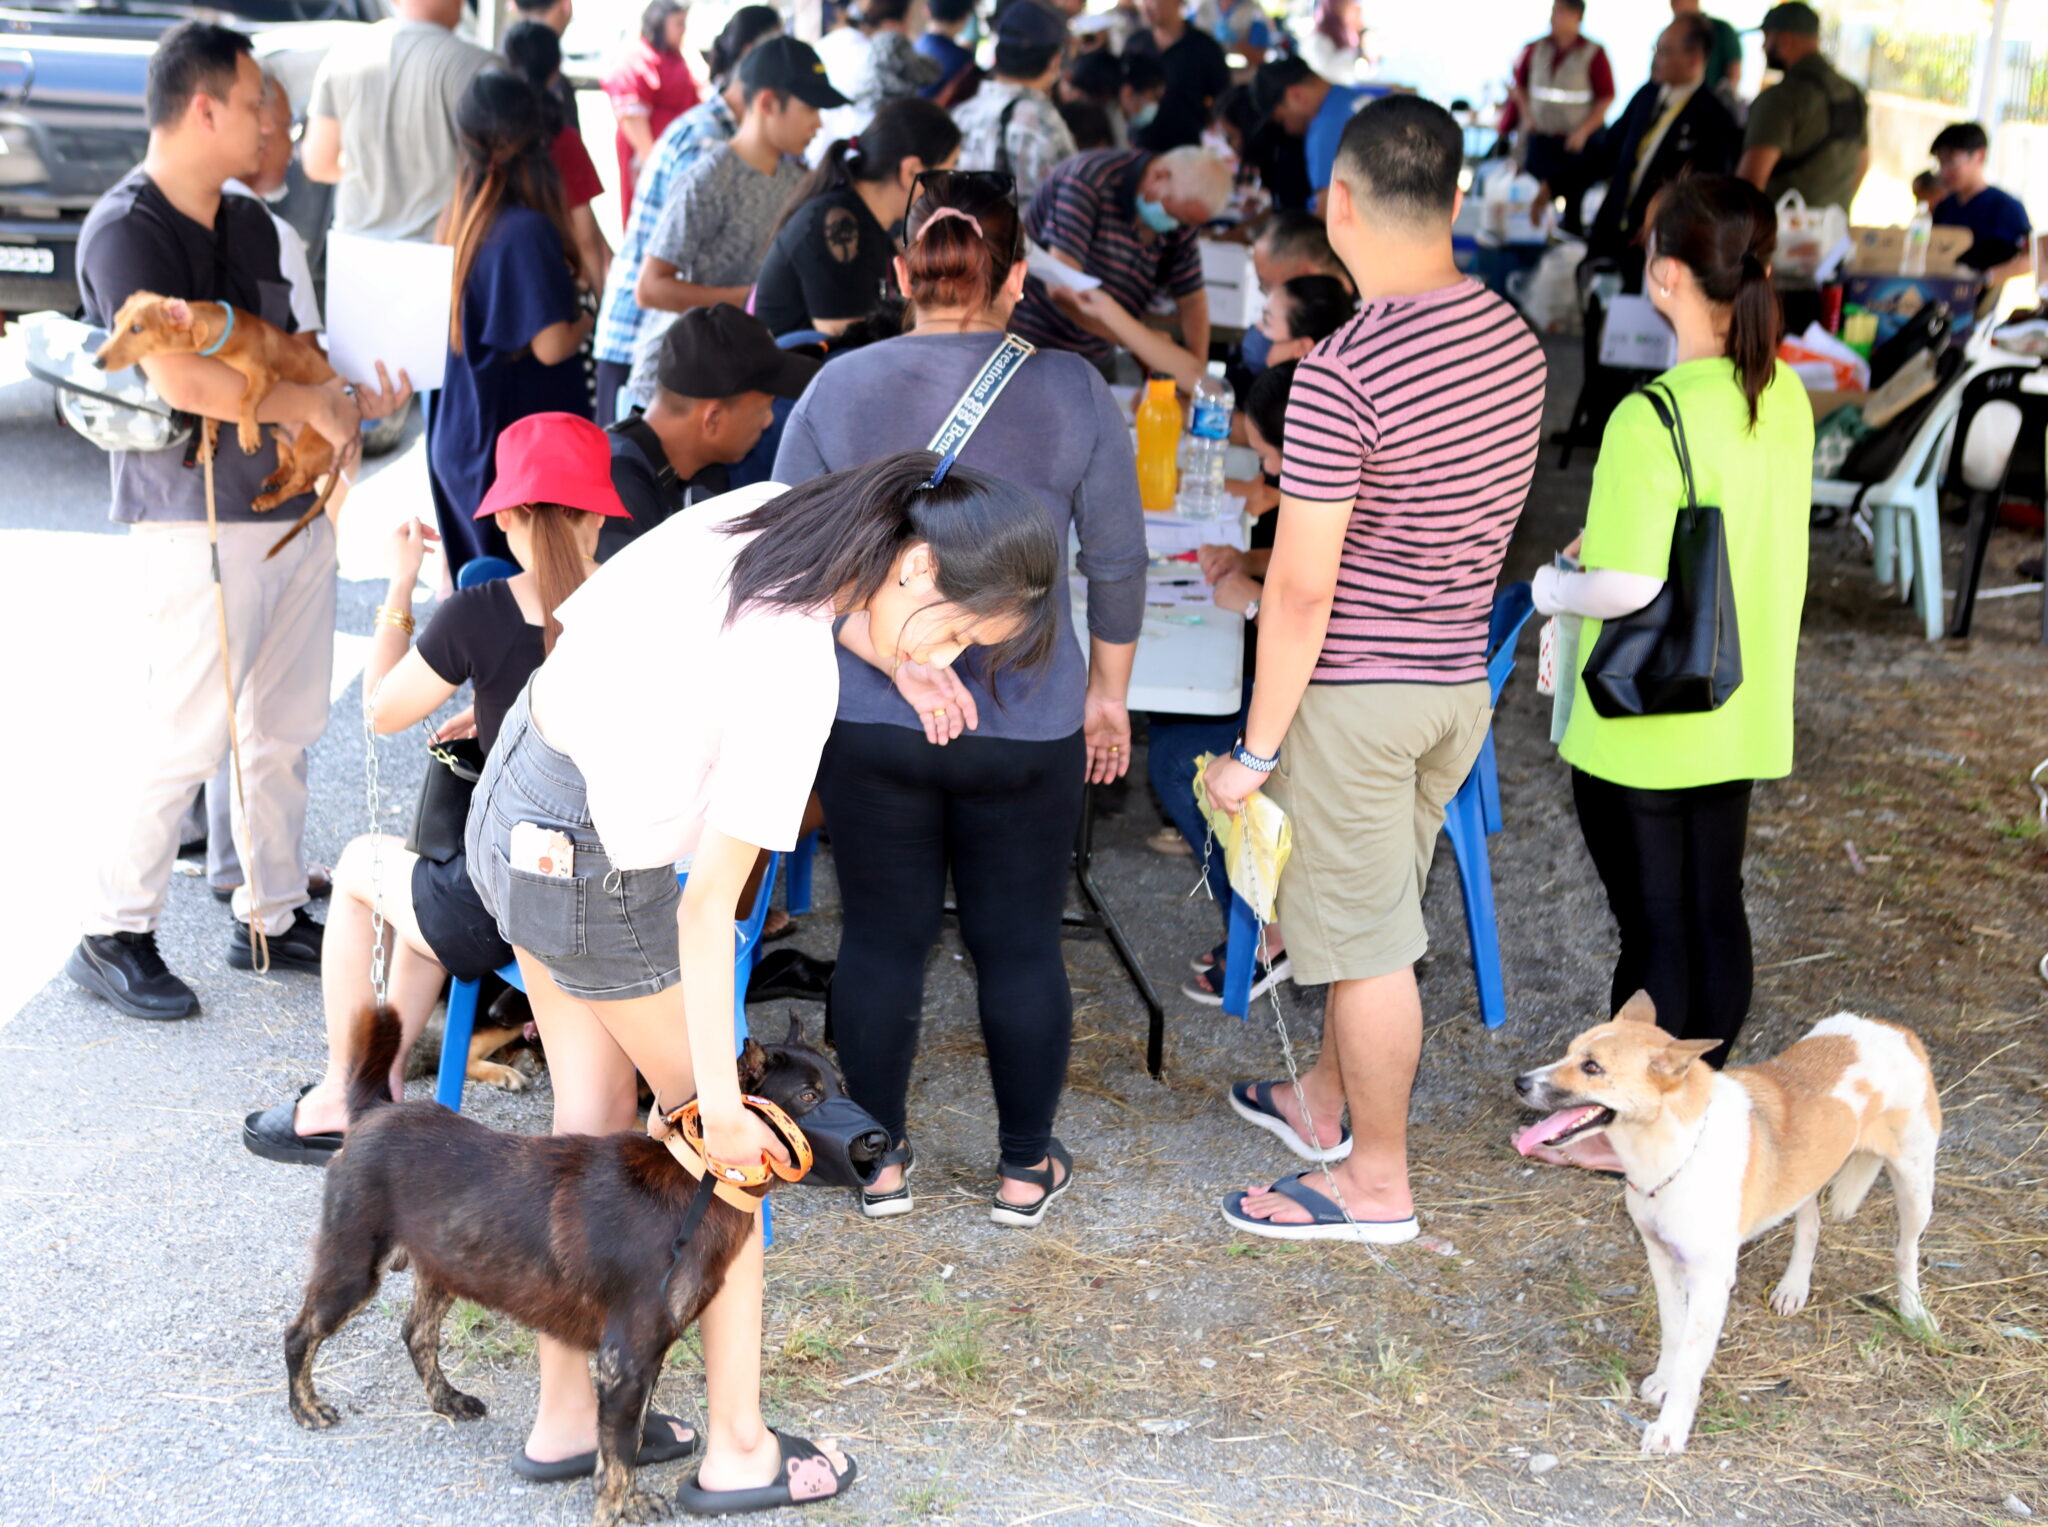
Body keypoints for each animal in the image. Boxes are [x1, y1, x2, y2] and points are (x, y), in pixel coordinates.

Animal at [95, 292, 341, 554]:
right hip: (282, 436)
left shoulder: (263, 374)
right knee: (289, 465)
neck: (228, 332)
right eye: (116, 322)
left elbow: (245, 399)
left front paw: (247, 433)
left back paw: (268, 501)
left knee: (303, 483)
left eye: (137, 328)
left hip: (309, 442)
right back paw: (274, 481)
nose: (96, 362)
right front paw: (208, 443)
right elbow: (211, 416)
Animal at [286, 1008, 866, 1527]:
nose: (876, 1142)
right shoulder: (625, 1358)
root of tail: (372, 1112)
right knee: (299, 1334)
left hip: (443, 1268)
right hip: (352, 1269)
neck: (697, 1177)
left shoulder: (647, 1357)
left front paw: (629, 1497)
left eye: (843, 1083)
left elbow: (627, 1443)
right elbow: (618, 1459)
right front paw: (615, 1510)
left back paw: (447, 1400)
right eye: (809, 1096)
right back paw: (306, 1408)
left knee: (416, 1334)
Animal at [1513, 992, 1941, 1457]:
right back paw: (1794, 1287)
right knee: (1810, 1225)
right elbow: (1673, 1331)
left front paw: (1671, 1428)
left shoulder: (1710, 1281)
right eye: (1569, 1052)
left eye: (1592, 1067)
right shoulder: (1660, 1259)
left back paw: (1913, 1311)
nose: (1519, 1082)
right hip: (1807, 1171)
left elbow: (1691, 1358)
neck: (1671, 1151)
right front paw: (1663, 1380)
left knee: (1906, 1251)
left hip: (1915, 1185)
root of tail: (1894, 1028)